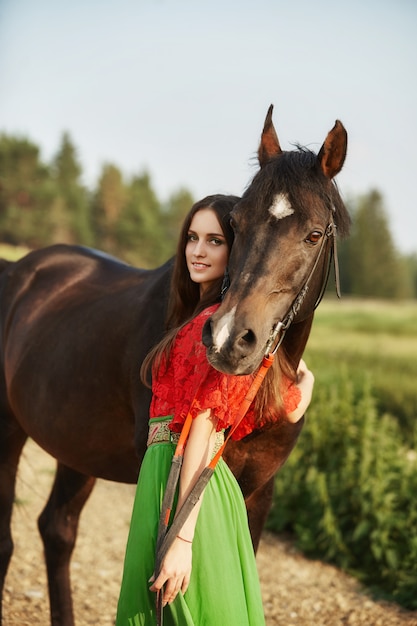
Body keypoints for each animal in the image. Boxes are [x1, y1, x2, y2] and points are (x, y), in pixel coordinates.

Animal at [0, 105, 348, 620]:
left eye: (314, 233)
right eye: (236, 224)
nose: (229, 340)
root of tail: (20, 270)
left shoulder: (258, 492)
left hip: (77, 445)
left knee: (57, 529)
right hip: (9, 430)